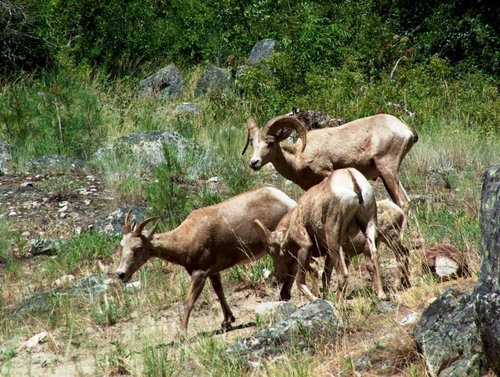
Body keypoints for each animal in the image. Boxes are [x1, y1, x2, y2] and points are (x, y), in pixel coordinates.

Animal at [114, 187, 296, 330]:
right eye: (122, 245)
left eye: (138, 248)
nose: (121, 274)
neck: (185, 239)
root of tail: (288, 201)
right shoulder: (213, 272)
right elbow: (219, 292)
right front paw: (227, 322)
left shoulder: (199, 273)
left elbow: (189, 302)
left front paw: (181, 335)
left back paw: (284, 295)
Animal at [256, 169, 384, 302]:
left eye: (271, 252)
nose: (275, 280)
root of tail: (353, 180)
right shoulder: (327, 254)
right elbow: (325, 276)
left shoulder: (305, 245)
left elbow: (300, 281)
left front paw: (314, 298)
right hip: (369, 227)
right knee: (374, 261)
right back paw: (381, 295)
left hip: (334, 240)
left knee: (343, 274)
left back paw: (338, 303)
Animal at [258, 197, 410, 300]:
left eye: (275, 251)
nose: (275, 279)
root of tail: (399, 212)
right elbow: (326, 275)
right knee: (405, 253)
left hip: (391, 239)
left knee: (402, 255)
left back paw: (396, 285)